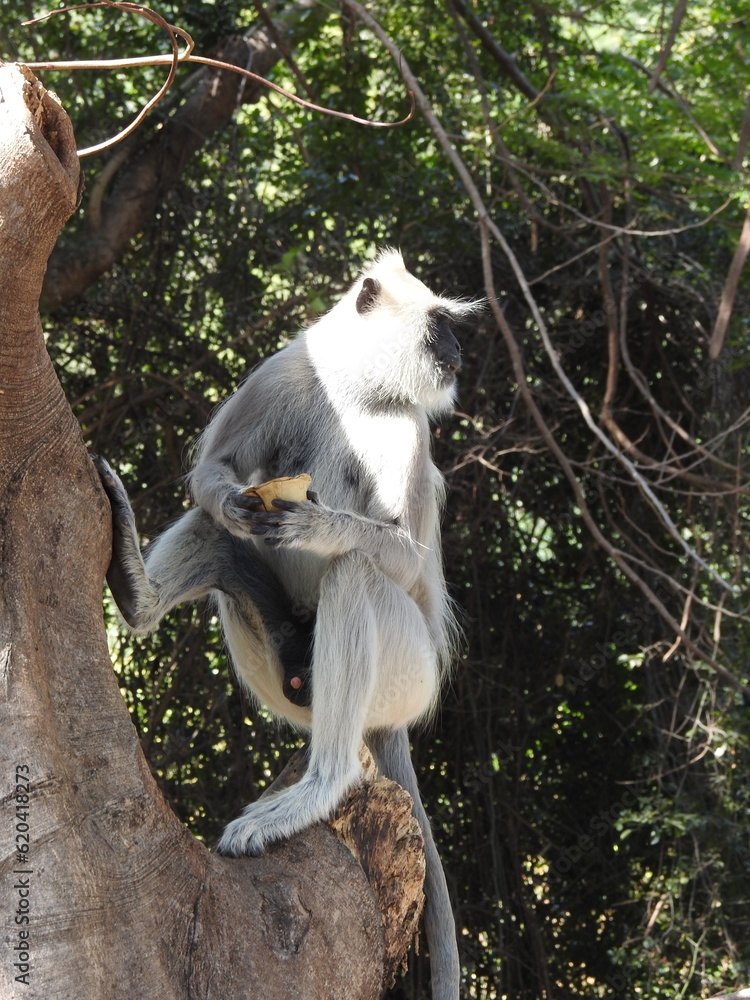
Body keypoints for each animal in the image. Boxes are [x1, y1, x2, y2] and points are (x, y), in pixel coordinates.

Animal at [95, 248, 476, 1000]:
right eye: (438, 325)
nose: (455, 351)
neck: (357, 390)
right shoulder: (282, 372)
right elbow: (212, 476)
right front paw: (237, 505)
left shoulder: (410, 430)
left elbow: (404, 556)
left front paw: (316, 525)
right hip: (275, 657)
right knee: (220, 534)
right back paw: (138, 594)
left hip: (408, 674)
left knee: (356, 574)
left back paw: (322, 784)